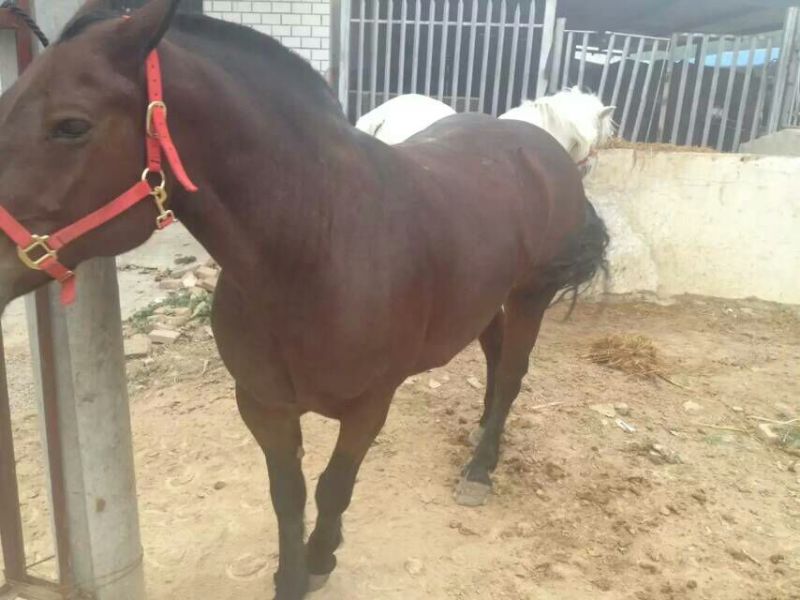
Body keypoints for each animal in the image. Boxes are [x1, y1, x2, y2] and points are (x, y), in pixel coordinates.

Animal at [0, 1, 609, 598]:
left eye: (70, 126)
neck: (318, 248)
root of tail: (539, 144)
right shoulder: (263, 405)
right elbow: (287, 498)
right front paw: (292, 571)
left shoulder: (369, 405)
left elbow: (334, 486)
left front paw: (319, 558)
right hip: (484, 297)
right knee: (495, 356)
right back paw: (485, 436)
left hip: (530, 295)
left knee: (511, 374)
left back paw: (480, 469)